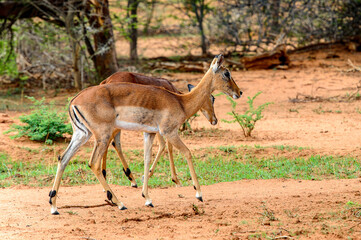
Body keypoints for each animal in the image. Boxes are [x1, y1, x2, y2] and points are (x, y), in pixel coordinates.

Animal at [49, 54, 242, 214]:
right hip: (102, 135)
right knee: (94, 163)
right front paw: (198, 193)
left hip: (82, 135)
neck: (180, 101)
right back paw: (120, 203)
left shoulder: (149, 134)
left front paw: (148, 199)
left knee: (63, 158)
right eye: (226, 73)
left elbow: (147, 159)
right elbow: (186, 152)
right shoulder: (169, 132)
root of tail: (74, 101)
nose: (239, 92)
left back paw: (54, 206)